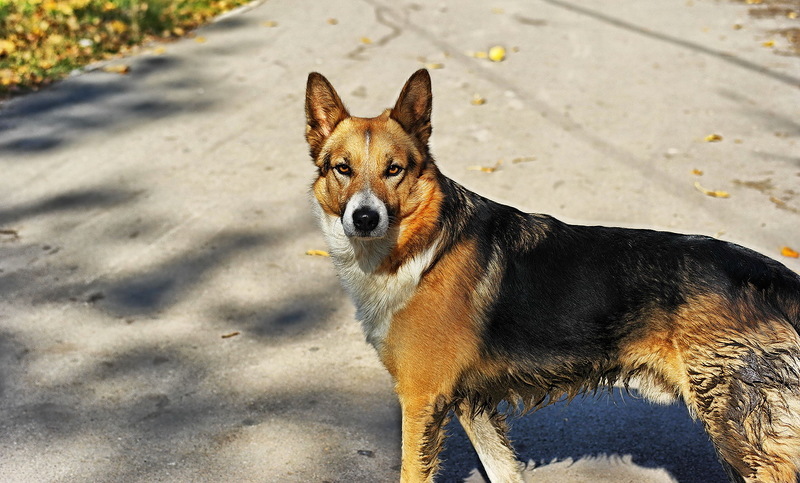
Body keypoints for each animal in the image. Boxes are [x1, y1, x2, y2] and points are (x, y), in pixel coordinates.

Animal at [304, 69, 800, 483]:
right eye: (343, 168)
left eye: (394, 170)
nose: (364, 217)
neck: (421, 248)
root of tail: (763, 271)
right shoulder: (470, 405)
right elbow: (503, 472)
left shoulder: (422, 400)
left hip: (743, 436)